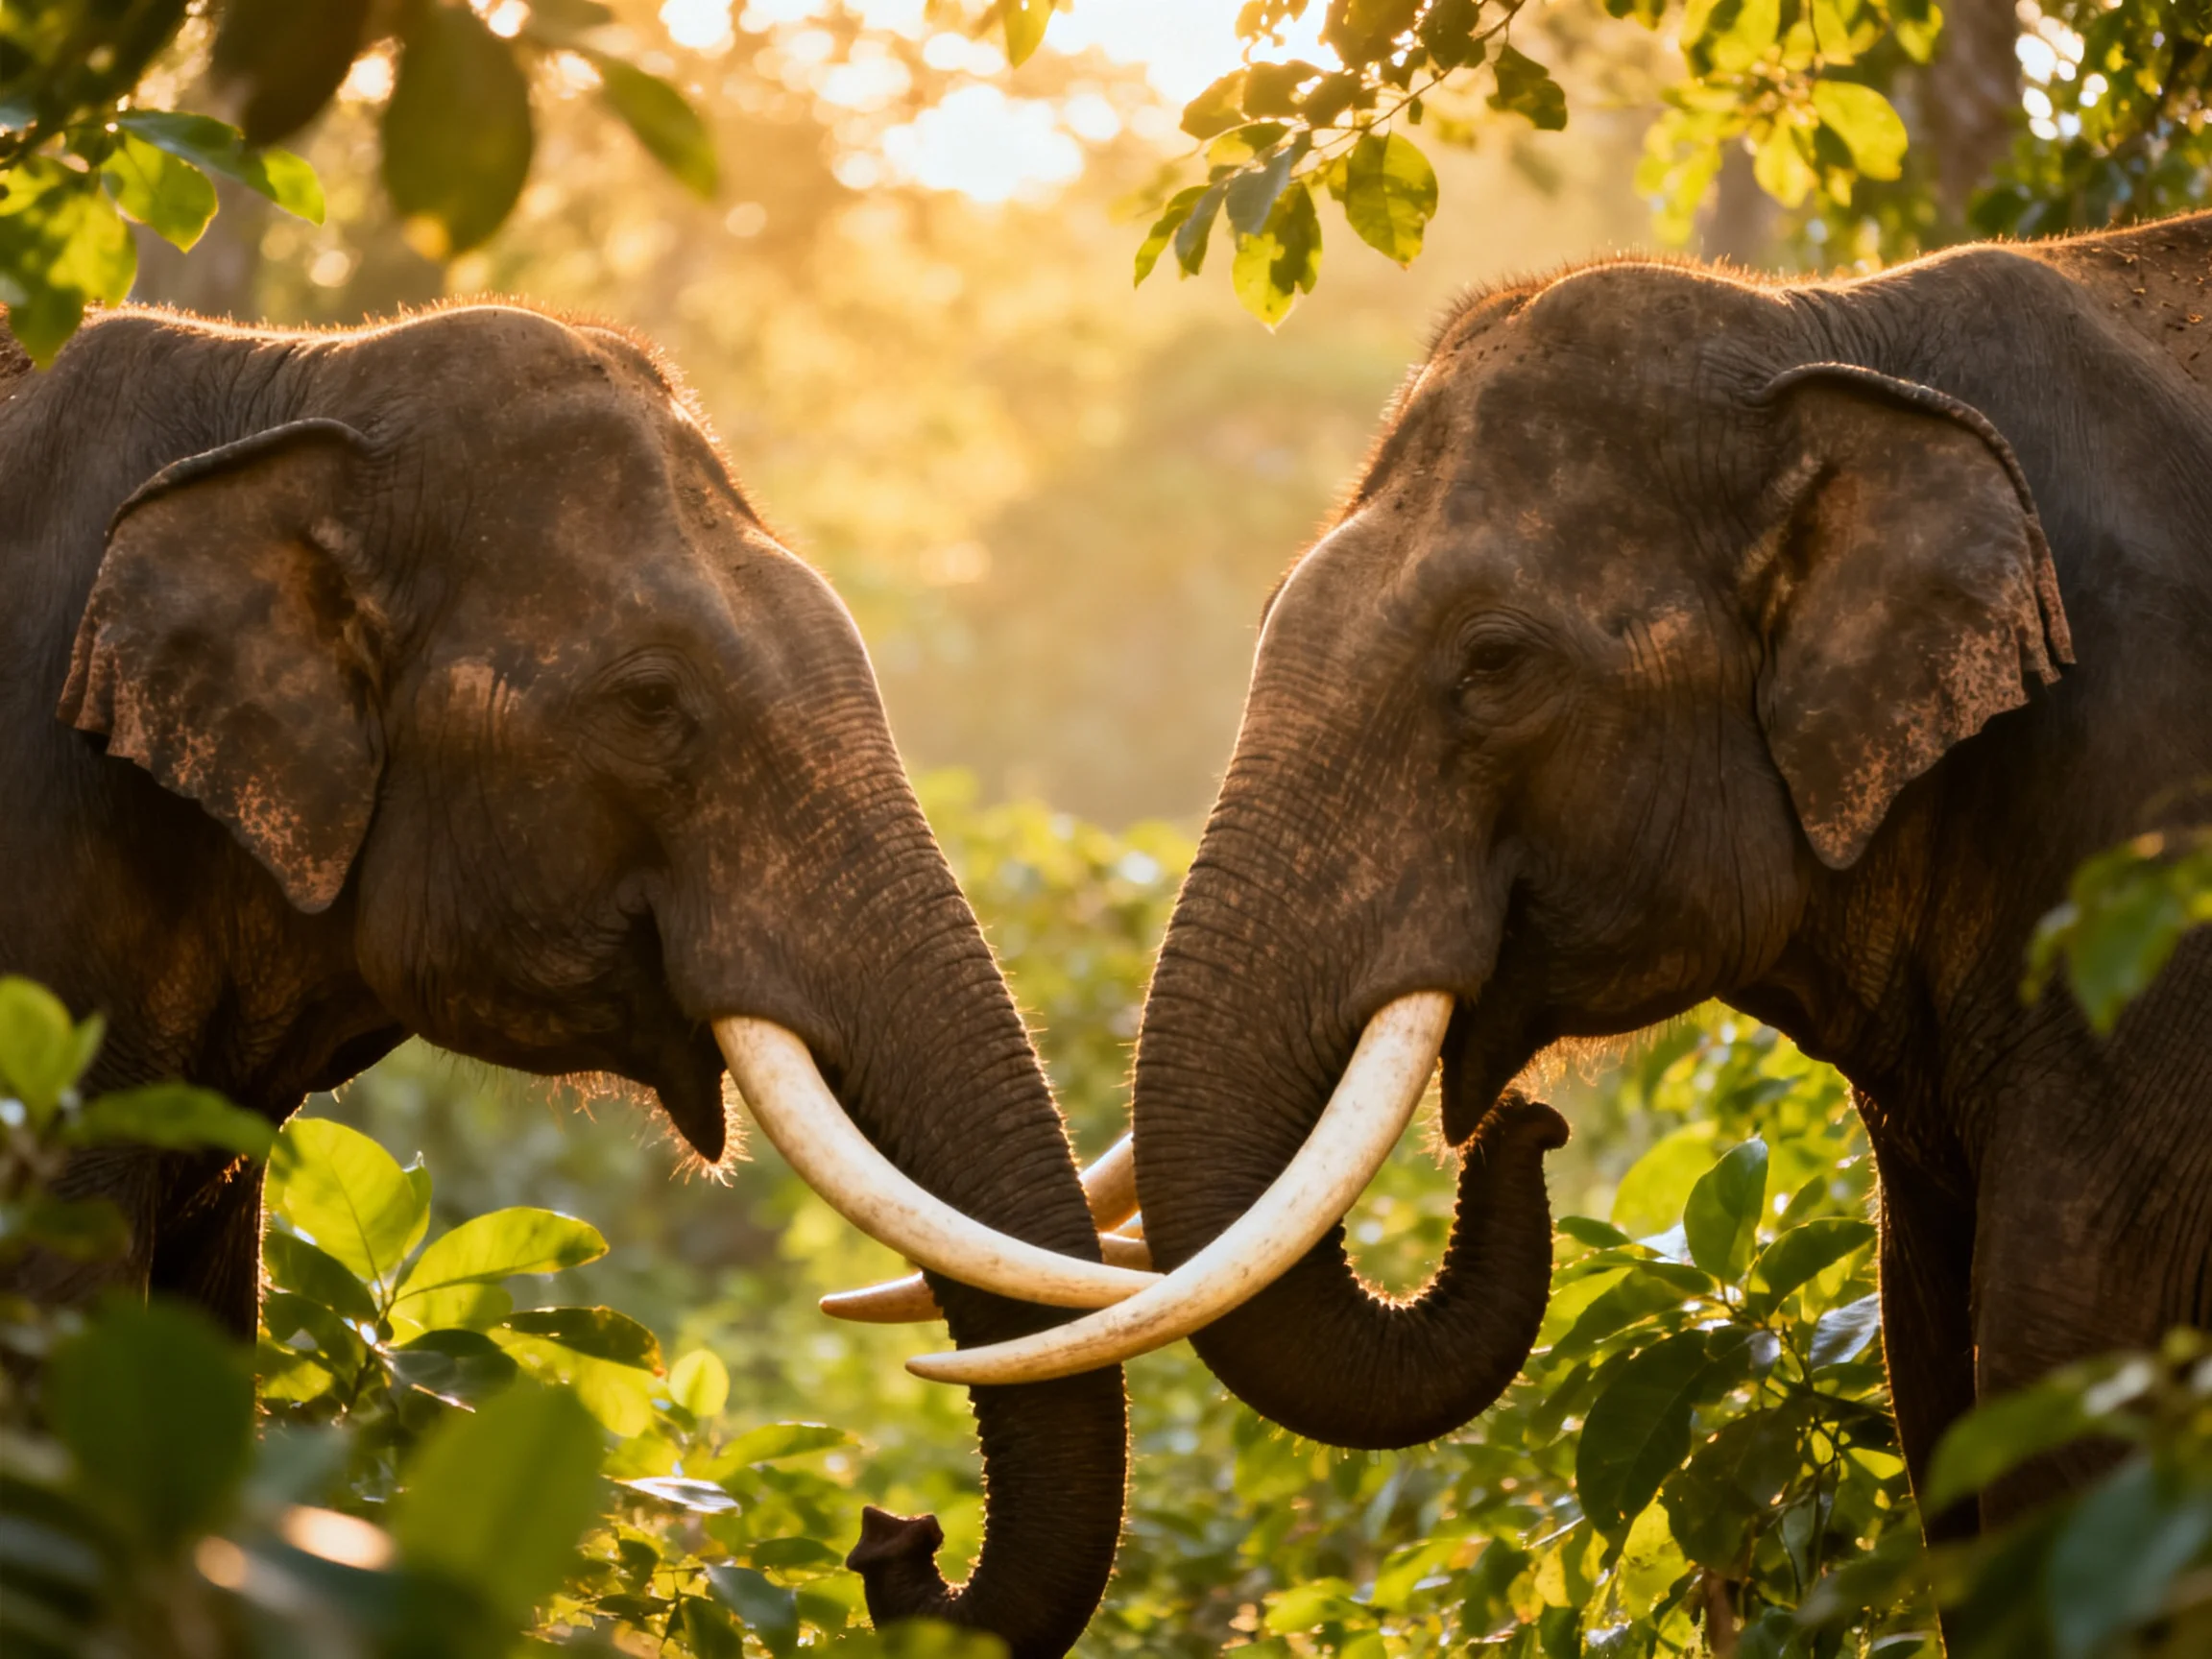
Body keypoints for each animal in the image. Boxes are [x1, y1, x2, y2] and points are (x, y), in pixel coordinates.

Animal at [918, 210, 2212, 1553]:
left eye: (1493, 662)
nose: (1532, 1125)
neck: (1827, 325)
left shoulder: (2148, 836)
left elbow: (2061, 1351)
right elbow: (1934, 1378)